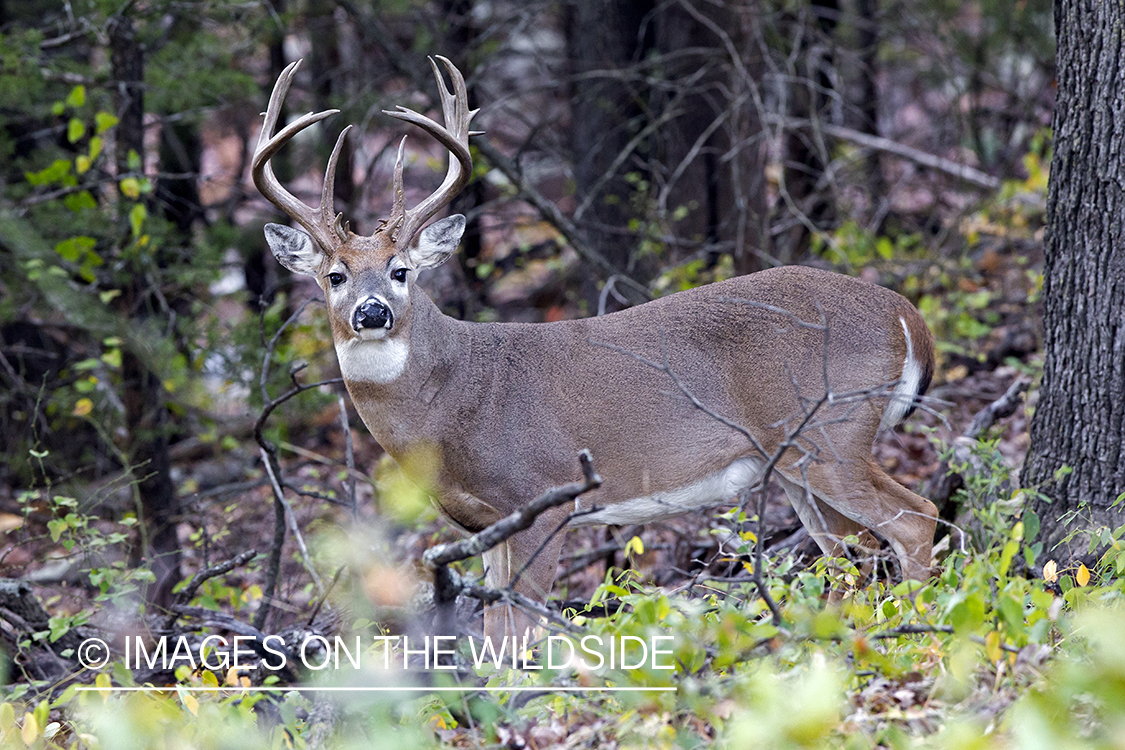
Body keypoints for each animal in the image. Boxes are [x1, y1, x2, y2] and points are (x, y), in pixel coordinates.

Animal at [253, 57, 940, 638]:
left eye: (401, 271)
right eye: (334, 276)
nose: (372, 312)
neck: (449, 404)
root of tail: (905, 314)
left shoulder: (541, 494)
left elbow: (519, 634)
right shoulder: (485, 526)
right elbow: (495, 630)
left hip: (832, 432)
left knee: (915, 518)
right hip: (798, 460)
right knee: (849, 557)